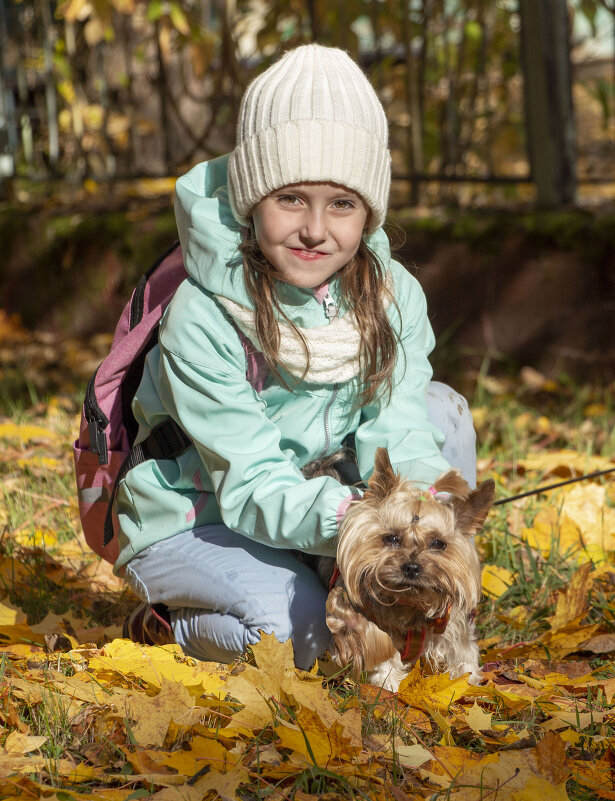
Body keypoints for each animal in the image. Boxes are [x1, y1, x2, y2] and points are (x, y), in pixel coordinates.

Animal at [302, 446, 496, 692]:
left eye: (439, 543)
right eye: (391, 538)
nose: (412, 567)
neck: (410, 602)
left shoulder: (453, 629)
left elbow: (464, 660)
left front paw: (467, 686)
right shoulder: (374, 626)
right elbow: (383, 659)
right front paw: (390, 688)